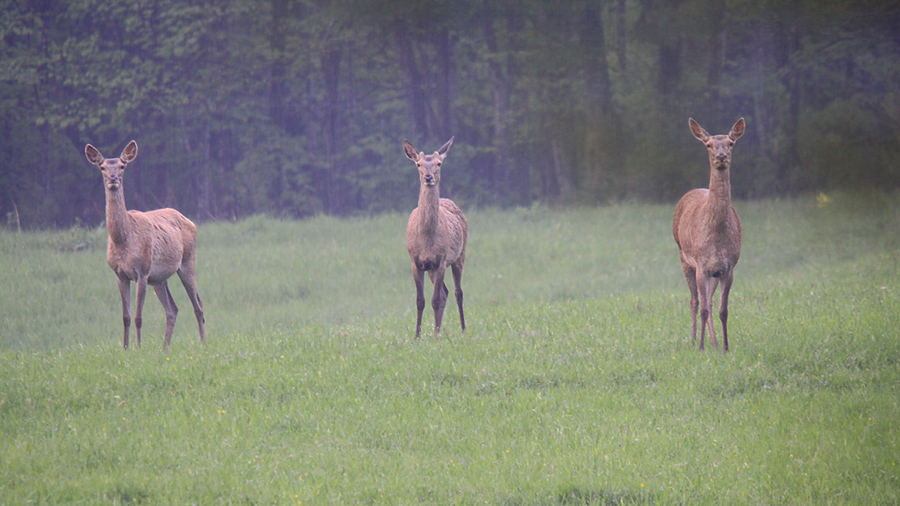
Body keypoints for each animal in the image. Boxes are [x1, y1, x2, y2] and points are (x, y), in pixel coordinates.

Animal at [83, 140, 205, 350]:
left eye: (122, 166)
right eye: (102, 167)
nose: (113, 178)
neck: (123, 239)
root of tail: (189, 220)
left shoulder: (142, 271)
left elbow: (138, 317)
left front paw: (139, 348)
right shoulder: (119, 274)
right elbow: (126, 317)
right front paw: (125, 348)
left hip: (187, 261)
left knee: (197, 304)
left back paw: (203, 343)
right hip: (159, 279)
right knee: (173, 309)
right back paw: (165, 348)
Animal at [402, 136, 468, 338]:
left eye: (439, 163)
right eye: (418, 164)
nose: (428, 177)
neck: (426, 240)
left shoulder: (441, 260)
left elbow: (435, 300)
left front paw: (435, 337)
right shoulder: (416, 262)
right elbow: (420, 301)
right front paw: (417, 336)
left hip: (460, 255)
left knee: (457, 292)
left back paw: (462, 329)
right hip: (431, 268)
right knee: (446, 292)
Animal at [672, 117, 740, 352]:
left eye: (730, 143)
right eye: (708, 145)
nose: (721, 157)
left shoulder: (728, 267)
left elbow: (723, 310)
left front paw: (726, 347)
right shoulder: (701, 265)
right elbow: (701, 307)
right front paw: (700, 347)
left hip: (713, 273)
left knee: (709, 302)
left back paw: (714, 342)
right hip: (684, 258)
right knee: (695, 301)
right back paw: (694, 340)